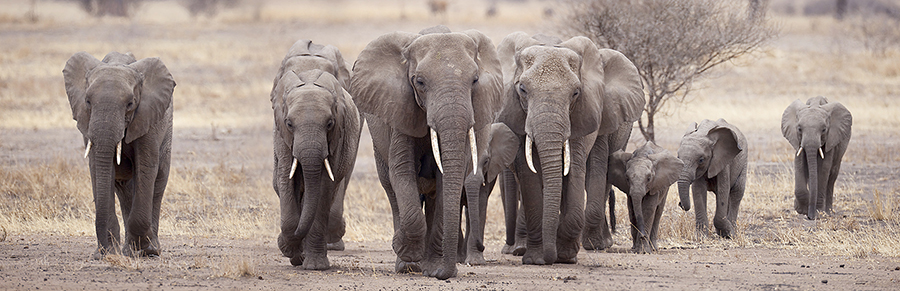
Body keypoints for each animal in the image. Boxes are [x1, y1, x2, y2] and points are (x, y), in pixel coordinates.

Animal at [63, 51, 176, 258]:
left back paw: (150, 249)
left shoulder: (148, 117)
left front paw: (144, 250)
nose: (101, 253)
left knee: (159, 181)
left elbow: (146, 166)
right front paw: (109, 253)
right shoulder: (86, 122)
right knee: (124, 190)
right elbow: (97, 168)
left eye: (130, 103)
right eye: (88, 101)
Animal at [270, 40, 362, 270]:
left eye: (329, 123)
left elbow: (323, 187)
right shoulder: (282, 137)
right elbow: (286, 179)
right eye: (289, 124)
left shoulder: (339, 135)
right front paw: (291, 250)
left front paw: (314, 265)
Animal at [352, 26, 506, 280]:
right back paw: (406, 265)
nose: (446, 273)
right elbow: (402, 173)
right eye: (420, 81)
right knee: (392, 191)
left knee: (434, 198)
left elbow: (446, 180)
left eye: (475, 80)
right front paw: (402, 249)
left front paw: (434, 269)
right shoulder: (401, 112)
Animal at [496, 33, 644, 266]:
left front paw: (566, 255)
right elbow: (529, 174)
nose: (549, 258)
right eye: (522, 89)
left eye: (576, 92)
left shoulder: (588, 114)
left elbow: (577, 167)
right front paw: (536, 258)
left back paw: (597, 244)